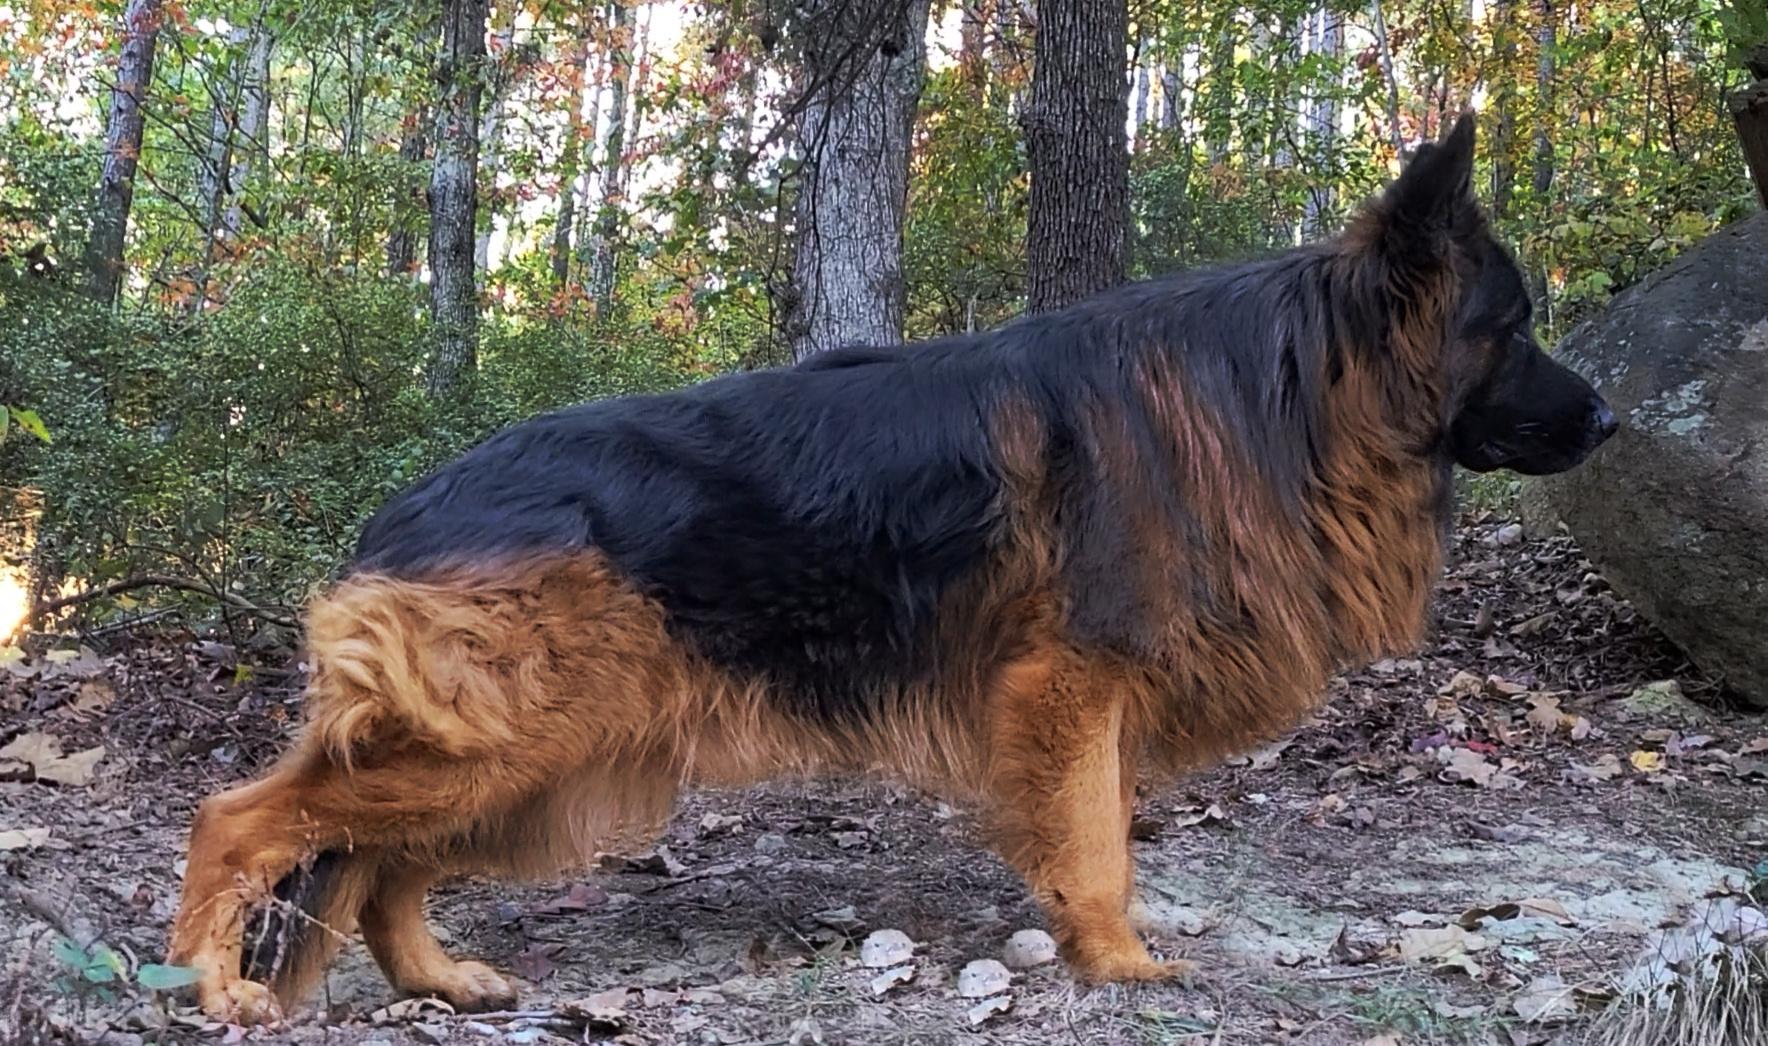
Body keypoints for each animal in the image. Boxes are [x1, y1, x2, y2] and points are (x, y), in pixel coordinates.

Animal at [167, 114, 1615, 1021]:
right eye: (1514, 326)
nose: (1610, 422)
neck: (1283, 390)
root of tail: (404, 505)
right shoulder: (1073, 687)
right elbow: (1099, 844)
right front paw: (1117, 957)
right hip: (511, 735)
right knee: (249, 819)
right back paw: (221, 984)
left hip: (531, 749)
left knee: (376, 863)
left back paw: (436, 977)